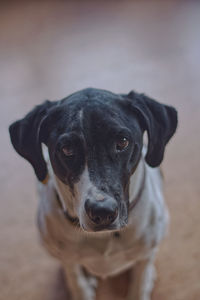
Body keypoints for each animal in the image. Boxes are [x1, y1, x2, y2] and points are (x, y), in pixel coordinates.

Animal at [9, 88, 177, 298]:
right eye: (67, 149)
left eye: (122, 142)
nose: (102, 211)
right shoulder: (68, 259)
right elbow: (77, 282)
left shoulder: (145, 252)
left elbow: (139, 285)